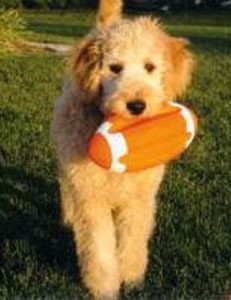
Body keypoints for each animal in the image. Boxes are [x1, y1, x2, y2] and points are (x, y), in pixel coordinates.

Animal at [51, 1, 195, 298]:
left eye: (150, 66)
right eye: (115, 68)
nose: (137, 105)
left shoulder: (139, 199)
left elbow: (133, 238)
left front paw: (131, 277)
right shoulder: (91, 197)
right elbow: (98, 247)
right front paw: (104, 287)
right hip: (67, 165)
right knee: (66, 188)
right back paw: (68, 218)